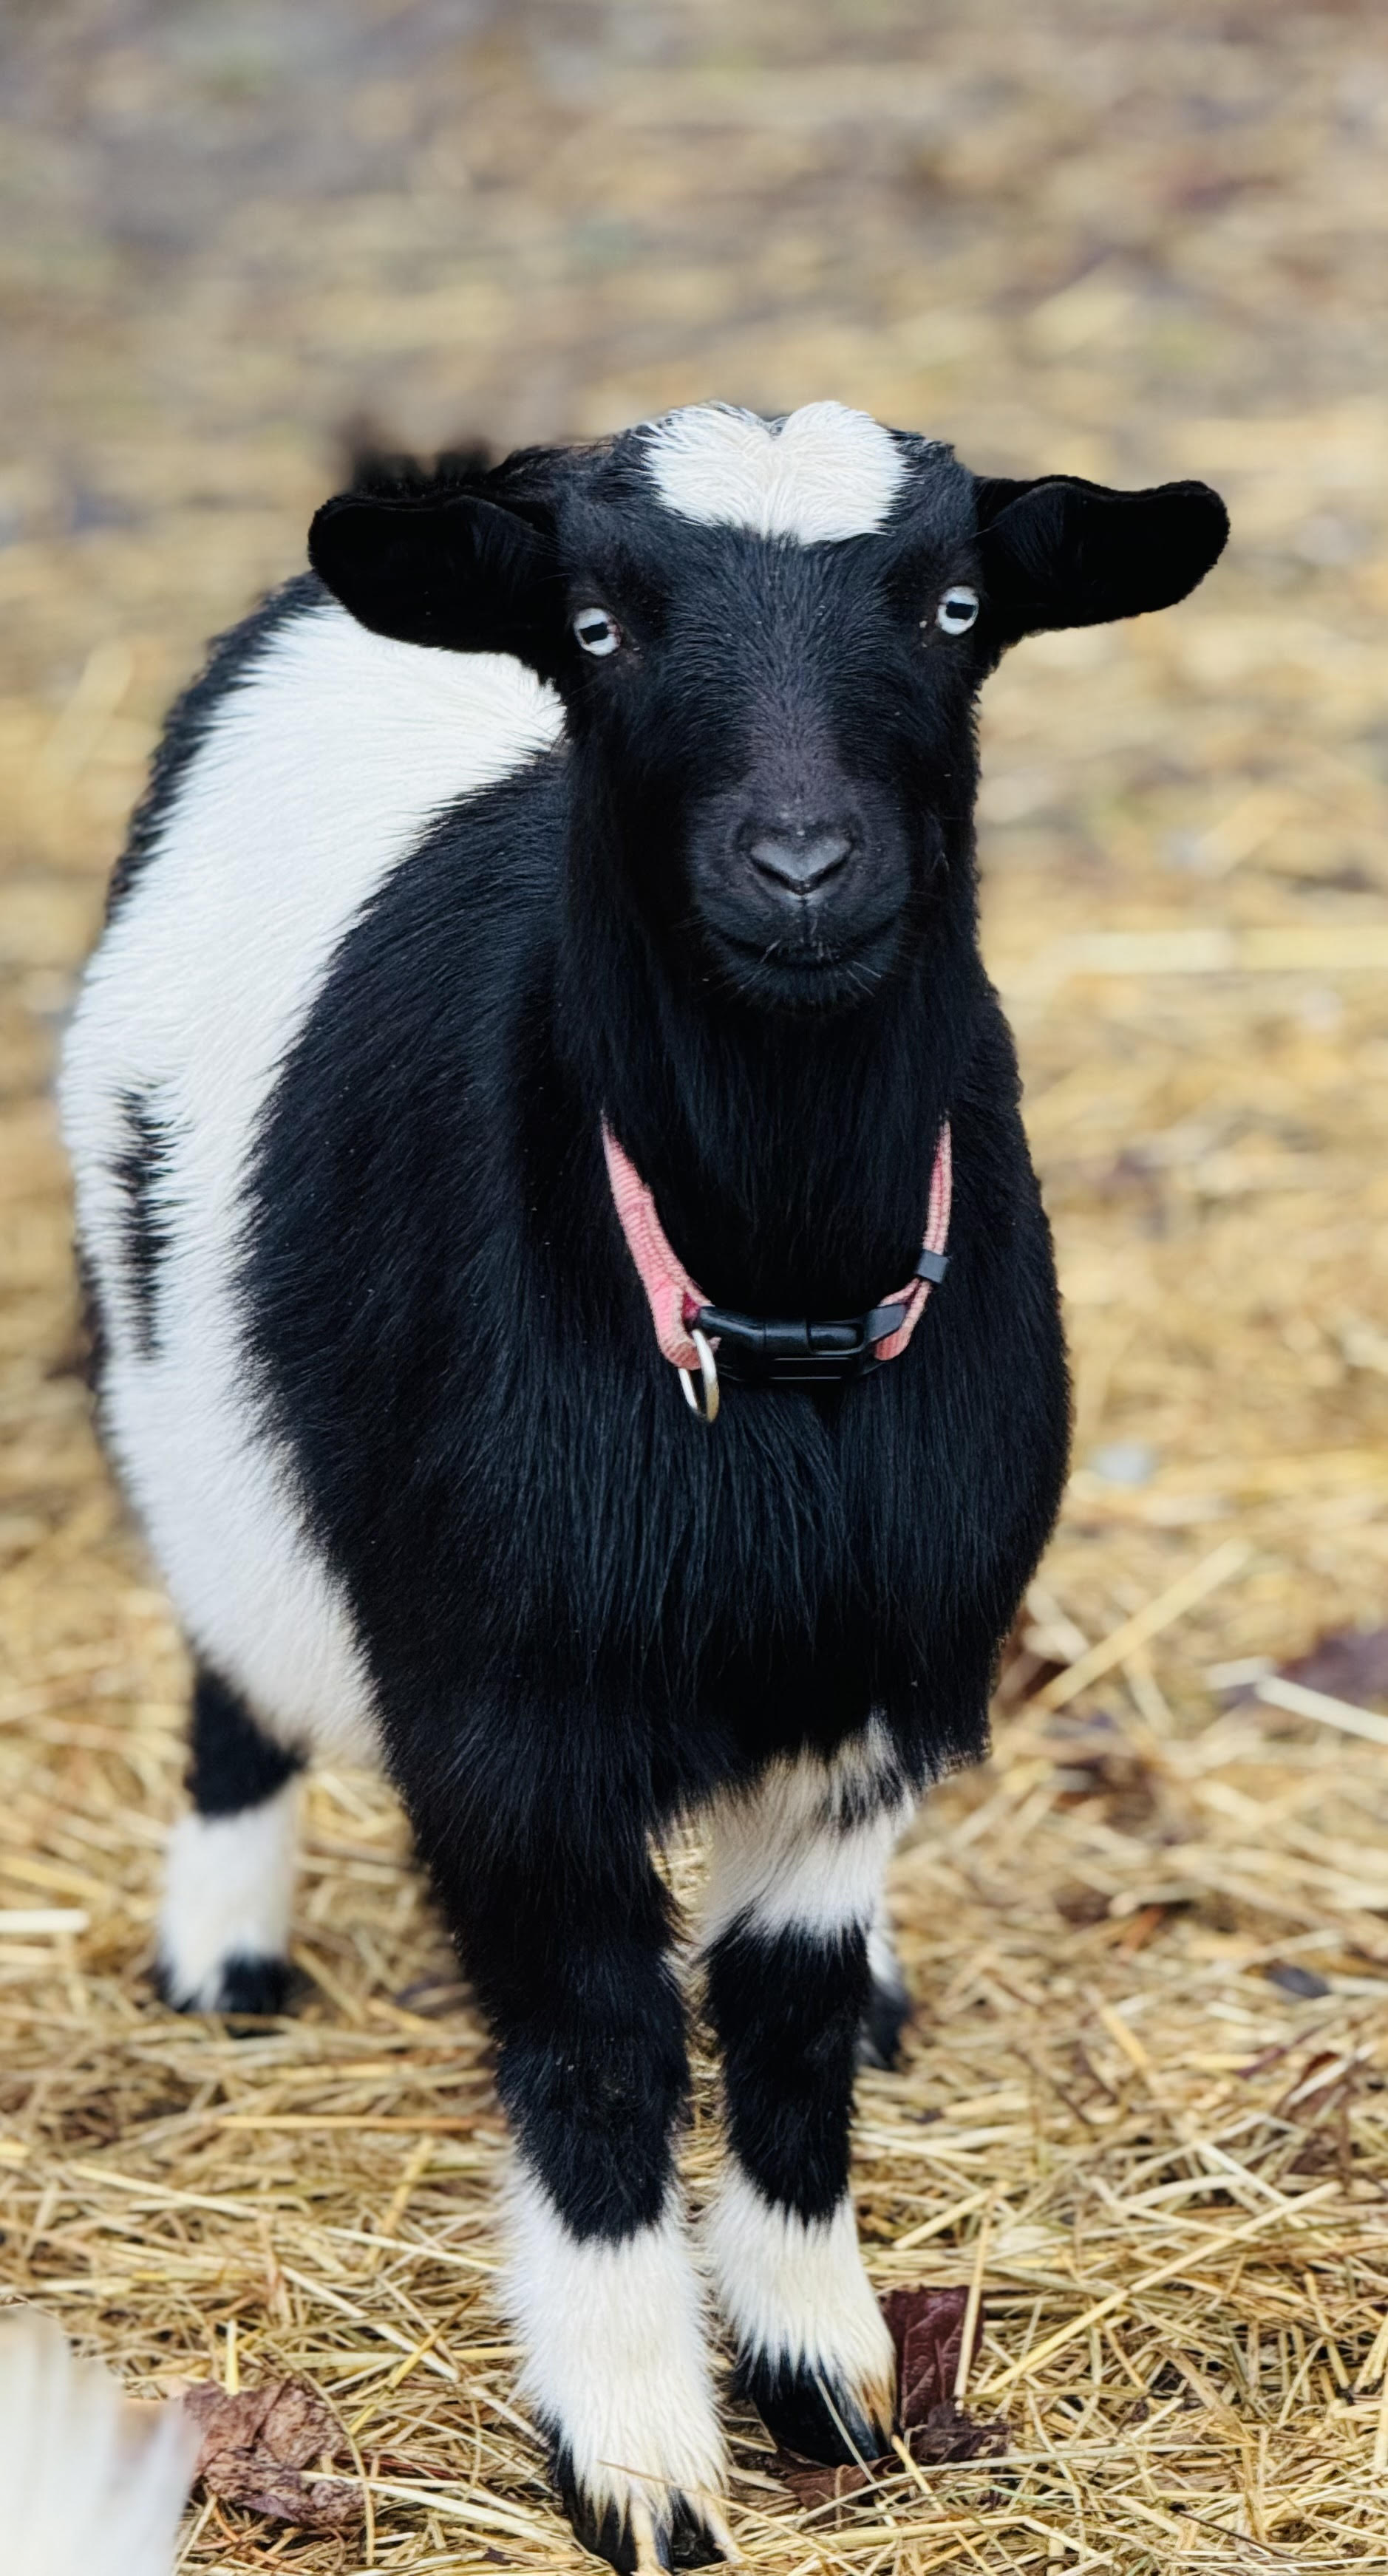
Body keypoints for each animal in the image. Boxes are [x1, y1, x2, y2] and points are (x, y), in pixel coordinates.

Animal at [60, 402, 1227, 2570]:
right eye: (599, 627)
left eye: (953, 606)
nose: (799, 864)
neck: (771, 1330)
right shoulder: (501, 1713)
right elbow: (597, 2049)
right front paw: (635, 2449)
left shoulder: (881, 1687)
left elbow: (777, 2017)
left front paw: (822, 2365)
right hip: (156, 1342)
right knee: (227, 1632)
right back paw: (225, 1952)